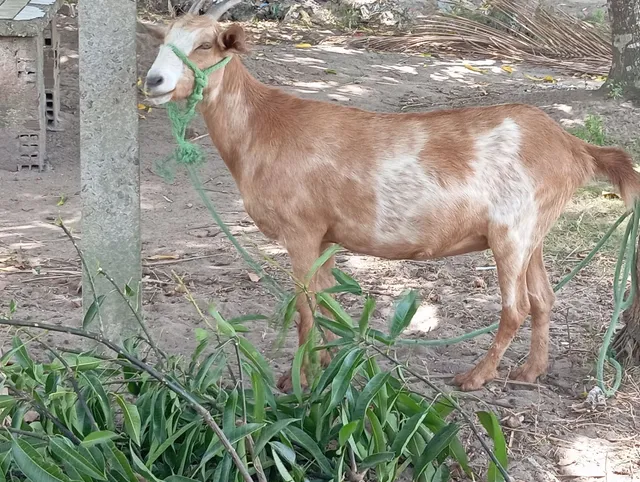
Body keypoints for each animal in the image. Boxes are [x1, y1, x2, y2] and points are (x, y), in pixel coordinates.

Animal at [142, 5, 640, 392]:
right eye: (164, 40)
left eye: (206, 44)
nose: (153, 80)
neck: (263, 126)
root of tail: (573, 146)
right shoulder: (326, 236)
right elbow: (325, 303)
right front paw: (323, 365)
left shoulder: (300, 230)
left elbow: (305, 308)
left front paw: (300, 381)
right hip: (534, 231)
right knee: (544, 298)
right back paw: (530, 371)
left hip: (511, 232)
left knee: (515, 307)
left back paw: (476, 376)